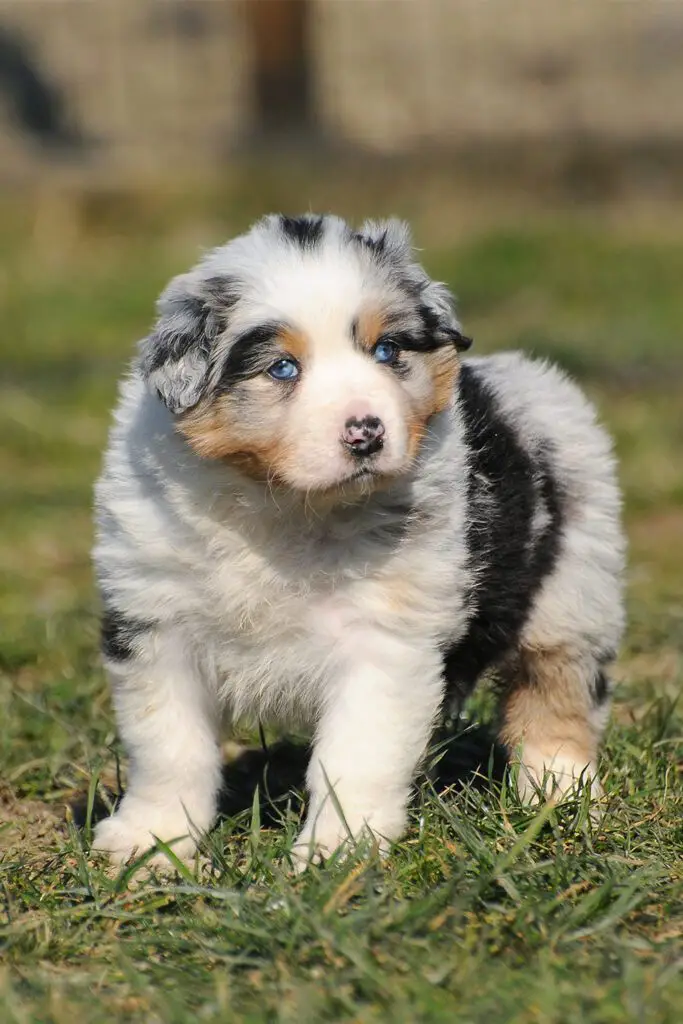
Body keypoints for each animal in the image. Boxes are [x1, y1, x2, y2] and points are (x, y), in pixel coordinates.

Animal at [93, 211, 626, 868]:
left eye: (387, 350)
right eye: (283, 368)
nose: (366, 433)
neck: (284, 507)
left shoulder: (384, 639)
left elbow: (354, 756)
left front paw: (335, 852)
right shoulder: (155, 622)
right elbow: (168, 747)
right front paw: (148, 844)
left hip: (575, 588)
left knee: (558, 692)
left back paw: (561, 800)